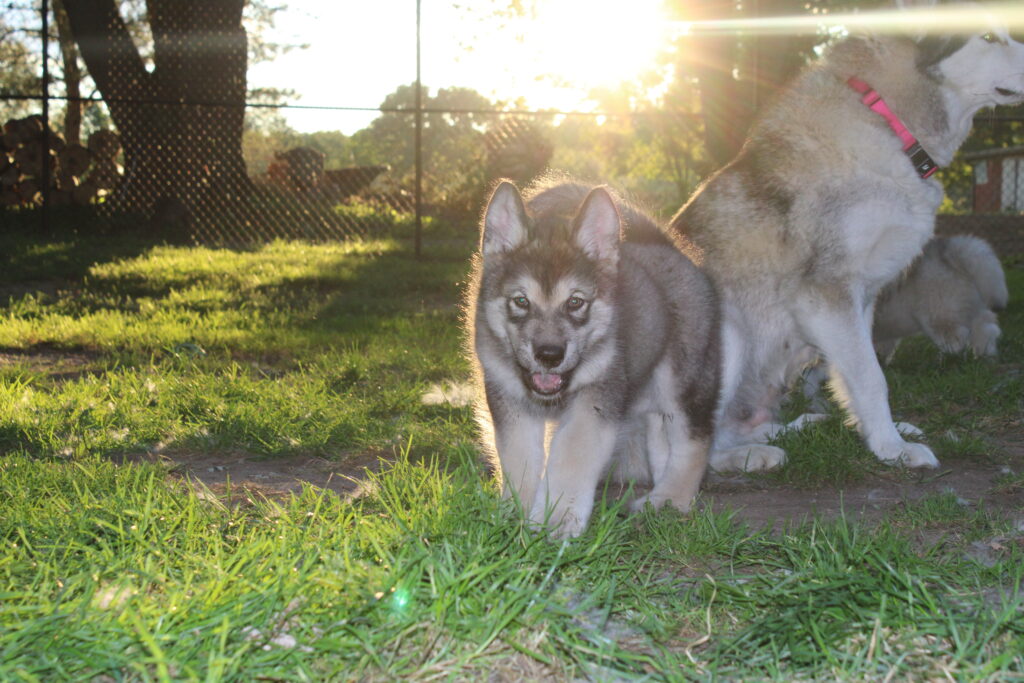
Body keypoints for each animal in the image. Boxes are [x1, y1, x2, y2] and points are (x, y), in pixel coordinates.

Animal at [467, 178, 720, 537]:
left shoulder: (594, 402)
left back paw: (670, 501)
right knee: (663, 440)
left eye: (575, 302)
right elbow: (519, 459)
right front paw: (517, 515)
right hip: (653, 396)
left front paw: (556, 520)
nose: (549, 355)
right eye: (521, 301)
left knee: (694, 441)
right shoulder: (510, 402)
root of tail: (668, 247)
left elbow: (571, 456)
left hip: (685, 380)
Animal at [873, 235, 1009, 360]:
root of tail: (948, 251)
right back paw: (984, 356)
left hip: (939, 315)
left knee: (957, 339)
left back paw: (948, 360)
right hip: (972, 308)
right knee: (987, 329)